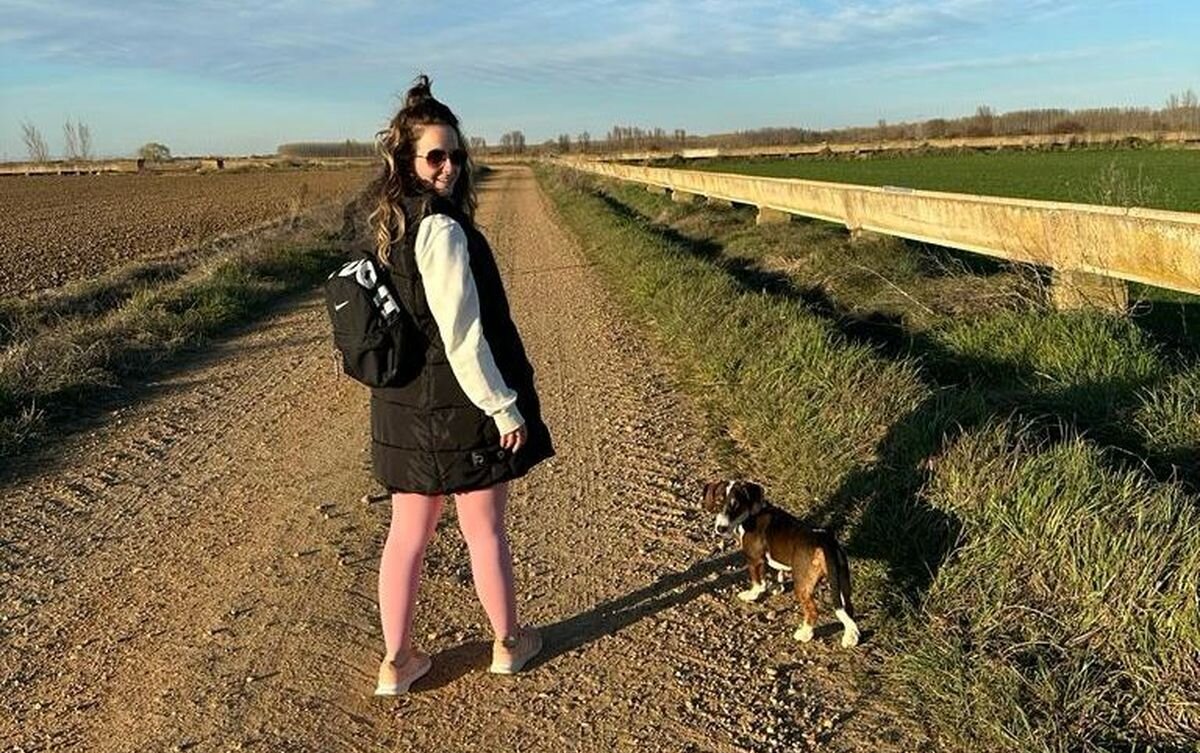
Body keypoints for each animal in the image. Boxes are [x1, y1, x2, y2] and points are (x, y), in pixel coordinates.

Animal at [700, 482, 859, 647]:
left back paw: (804, 634)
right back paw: (851, 637)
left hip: (802, 586)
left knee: (813, 612)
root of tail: (824, 541)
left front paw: (751, 595)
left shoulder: (755, 560)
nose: (720, 529)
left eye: (736, 505)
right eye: (719, 502)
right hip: (842, 581)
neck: (752, 515)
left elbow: (758, 583)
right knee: (848, 608)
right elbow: (778, 572)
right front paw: (777, 587)